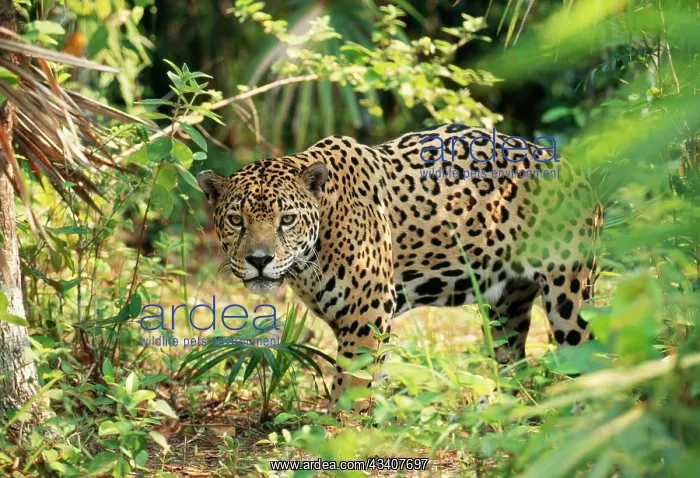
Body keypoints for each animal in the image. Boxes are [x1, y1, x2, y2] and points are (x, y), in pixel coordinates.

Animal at [197, 124, 604, 412]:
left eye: (287, 220)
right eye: (236, 220)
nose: (259, 260)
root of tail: (578, 173)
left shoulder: (367, 310)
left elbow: (353, 382)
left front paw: (337, 433)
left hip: (570, 297)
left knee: (590, 351)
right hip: (508, 305)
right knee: (512, 358)